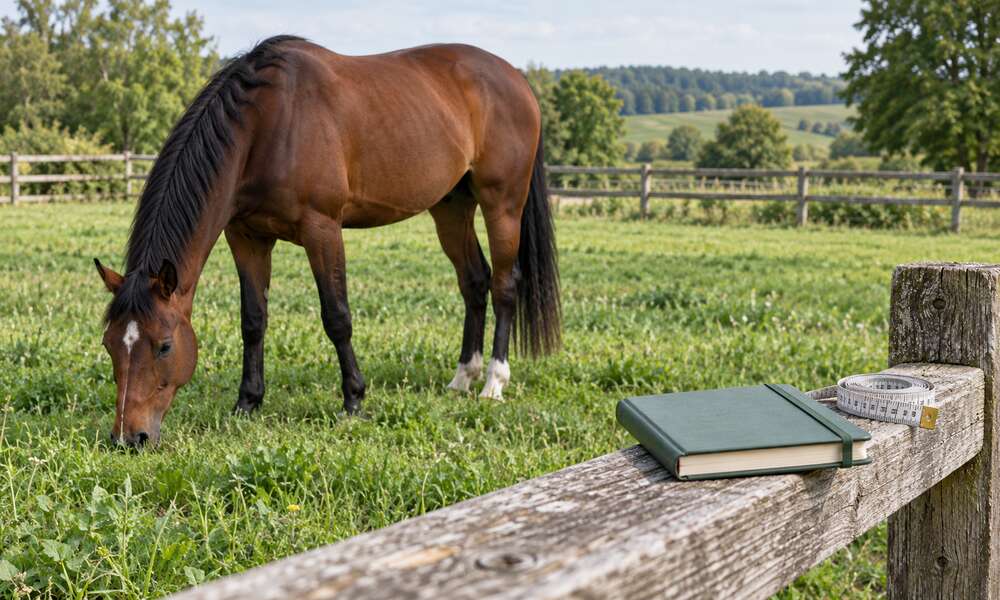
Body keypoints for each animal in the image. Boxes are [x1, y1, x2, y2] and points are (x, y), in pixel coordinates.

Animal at [93, 36, 561, 447]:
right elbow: (253, 320)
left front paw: (353, 400)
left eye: (165, 345)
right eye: (110, 343)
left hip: (502, 203)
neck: (267, 124)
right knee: (474, 282)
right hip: (451, 206)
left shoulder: (322, 230)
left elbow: (337, 316)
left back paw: (494, 382)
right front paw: (248, 402)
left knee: (504, 285)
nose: (129, 437)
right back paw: (463, 376)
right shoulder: (246, 236)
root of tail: (516, 79)